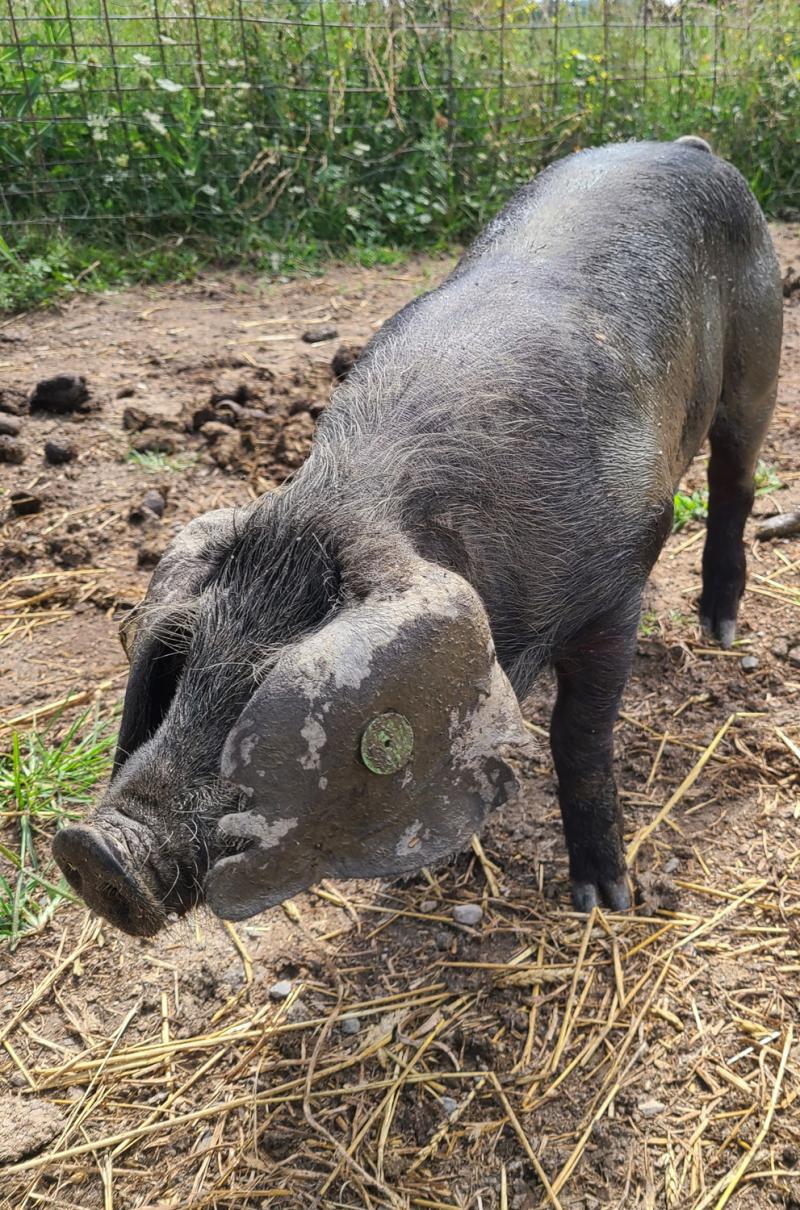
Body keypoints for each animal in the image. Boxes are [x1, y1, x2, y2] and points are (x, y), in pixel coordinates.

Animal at [52, 139, 784, 934]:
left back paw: (720, 630)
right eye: (183, 659)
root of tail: (688, 146)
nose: (95, 851)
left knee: (736, 482)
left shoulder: (619, 578)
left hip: (760, 351)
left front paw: (602, 901)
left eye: (263, 688)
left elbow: (580, 736)